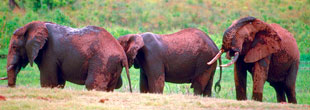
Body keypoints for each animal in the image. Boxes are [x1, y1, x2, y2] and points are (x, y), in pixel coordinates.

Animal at [0, 20, 132, 92]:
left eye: (14, 47)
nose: (11, 86)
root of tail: (122, 54)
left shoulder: (49, 54)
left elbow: (49, 83)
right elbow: (59, 83)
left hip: (103, 61)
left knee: (92, 85)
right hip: (113, 64)